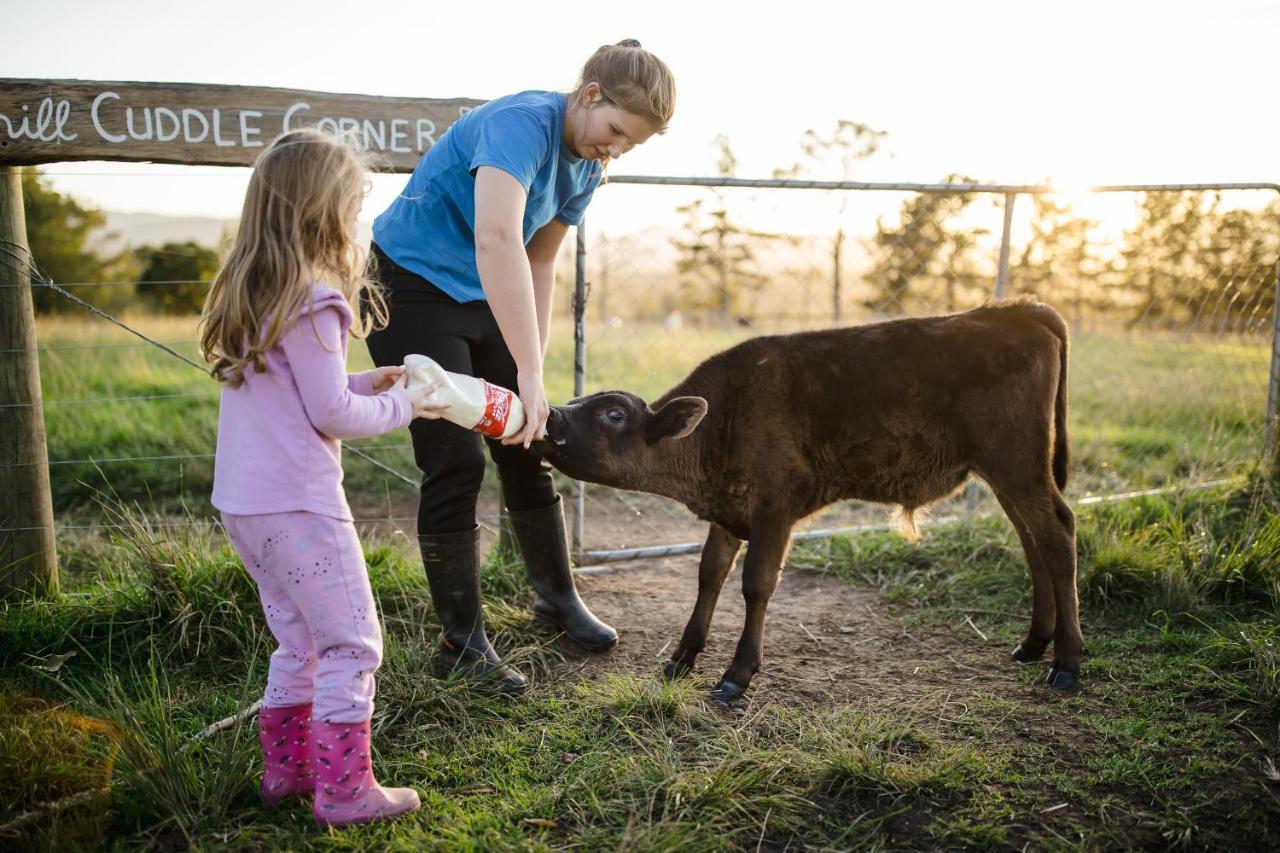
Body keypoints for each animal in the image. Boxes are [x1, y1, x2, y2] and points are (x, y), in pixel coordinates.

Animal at [535, 298, 1085, 696]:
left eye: (613, 415)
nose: (552, 414)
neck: (723, 419)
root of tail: (1018, 309)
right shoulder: (728, 512)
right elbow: (710, 573)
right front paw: (683, 657)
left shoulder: (775, 510)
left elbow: (756, 584)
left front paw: (737, 674)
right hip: (1007, 475)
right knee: (1033, 542)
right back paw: (1033, 644)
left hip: (1018, 465)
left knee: (1057, 535)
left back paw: (1067, 662)